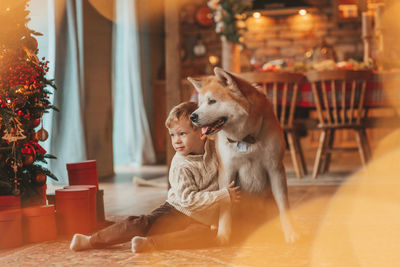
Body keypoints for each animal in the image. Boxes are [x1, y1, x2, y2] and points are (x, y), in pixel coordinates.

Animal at [188, 67, 296, 245]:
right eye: (200, 104)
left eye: (212, 101)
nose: (192, 116)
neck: (246, 138)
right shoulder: (227, 170)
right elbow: (225, 203)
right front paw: (223, 236)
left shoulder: (275, 168)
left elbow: (283, 204)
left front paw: (290, 232)